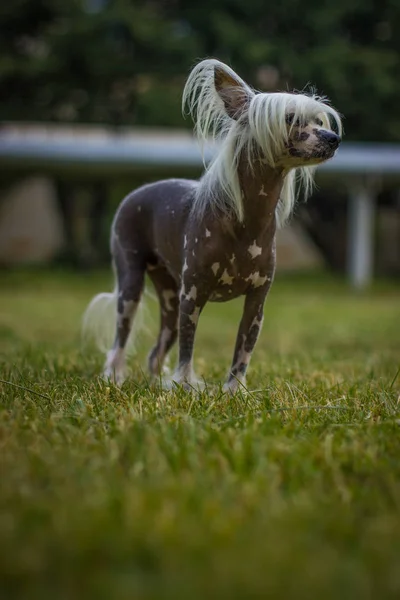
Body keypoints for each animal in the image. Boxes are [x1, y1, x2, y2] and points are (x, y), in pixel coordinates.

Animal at [83, 58, 342, 392]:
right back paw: (115, 377)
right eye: (290, 118)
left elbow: (243, 351)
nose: (333, 138)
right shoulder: (192, 296)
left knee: (155, 352)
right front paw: (184, 386)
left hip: (169, 296)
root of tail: (138, 191)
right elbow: (188, 350)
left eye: (319, 120)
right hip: (132, 284)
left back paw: (155, 383)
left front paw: (234, 391)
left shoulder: (257, 302)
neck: (249, 221)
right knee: (120, 341)